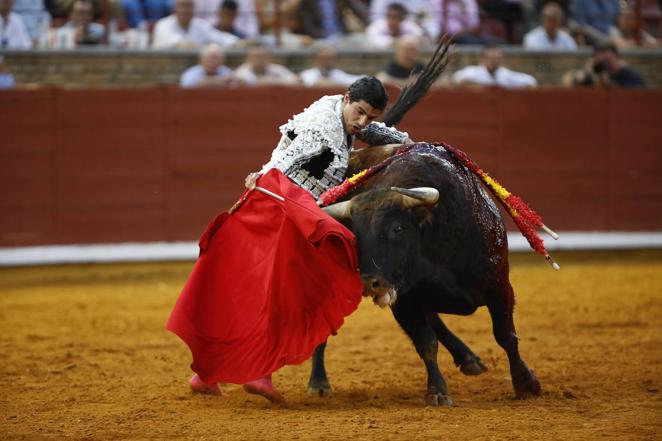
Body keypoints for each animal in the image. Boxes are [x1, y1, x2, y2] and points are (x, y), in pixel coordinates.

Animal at [308, 143, 544, 404]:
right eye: (354, 235)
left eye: (397, 228)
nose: (369, 283)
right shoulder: (404, 302)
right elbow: (426, 344)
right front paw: (438, 391)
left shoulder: (500, 286)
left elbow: (506, 335)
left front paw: (526, 384)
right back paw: (318, 383)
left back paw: (469, 359)